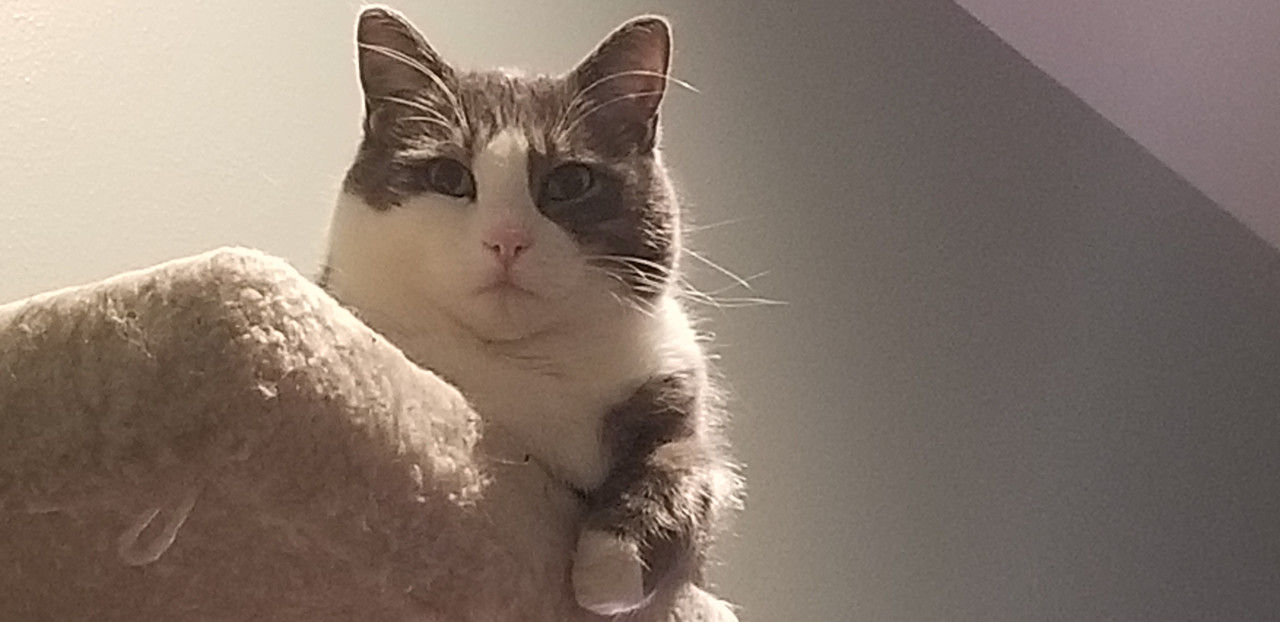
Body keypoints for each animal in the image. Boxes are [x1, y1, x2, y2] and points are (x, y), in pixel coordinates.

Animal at [320, 6, 740, 616]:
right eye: (448, 177)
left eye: (570, 181)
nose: (507, 241)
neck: (522, 363)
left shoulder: (676, 385)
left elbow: (686, 464)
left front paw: (607, 571)